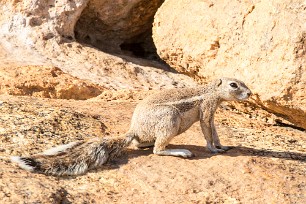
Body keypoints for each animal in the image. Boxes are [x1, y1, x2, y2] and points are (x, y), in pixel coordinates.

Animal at [11, 77, 251, 176]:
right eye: (234, 85)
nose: (249, 93)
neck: (211, 91)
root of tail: (134, 129)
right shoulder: (207, 110)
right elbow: (207, 132)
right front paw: (213, 149)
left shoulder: (212, 114)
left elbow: (215, 132)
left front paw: (222, 146)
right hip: (170, 118)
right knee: (158, 150)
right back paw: (180, 151)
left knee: (140, 145)